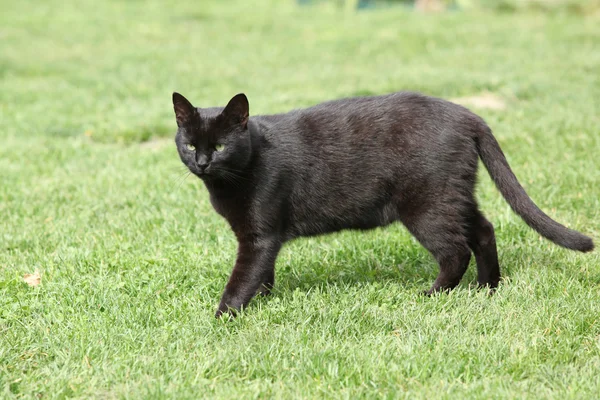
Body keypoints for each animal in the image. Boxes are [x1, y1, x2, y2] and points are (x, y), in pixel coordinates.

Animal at [171, 90, 592, 316]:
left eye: (220, 146)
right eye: (190, 145)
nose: (203, 162)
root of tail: (469, 116)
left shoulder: (258, 236)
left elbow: (243, 277)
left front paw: (223, 318)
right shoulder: (263, 238)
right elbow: (264, 274)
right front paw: (262, 301)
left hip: (427, 205)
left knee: (456, 251)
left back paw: (434, 294)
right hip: (453, 195)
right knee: (484, 231)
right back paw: (487, 288)